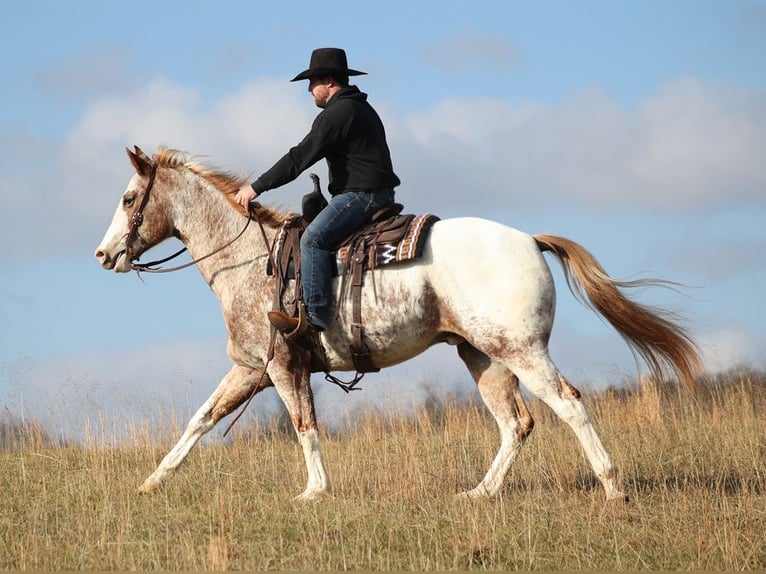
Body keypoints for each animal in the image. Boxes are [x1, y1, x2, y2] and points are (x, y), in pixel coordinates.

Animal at [94, 145, 704, 504]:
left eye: (128, 198)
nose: (104, 256)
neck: (251, 259)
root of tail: (531, 240)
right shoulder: (251, 369)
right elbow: (199, 421)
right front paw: (153, 481)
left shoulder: (283, 366)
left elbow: (304, 426)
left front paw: (313, 493)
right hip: (483, 356)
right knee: (516, 424)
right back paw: (479, 494)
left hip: (523, 351)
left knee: (568, 403)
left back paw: (612, 487)